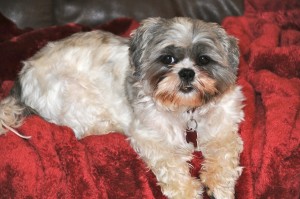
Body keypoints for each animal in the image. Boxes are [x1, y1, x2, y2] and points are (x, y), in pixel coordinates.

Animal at [0, 17, 244, 199]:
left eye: (203, 60)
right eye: (168, 59)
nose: (187, 72)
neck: (186, 109)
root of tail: (22, 78)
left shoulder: (224, 125)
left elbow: (225, 154)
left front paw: (219, 186)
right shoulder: (149, 134)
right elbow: (170, 162)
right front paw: (186, 191)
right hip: (73, 94)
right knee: (83, 128)